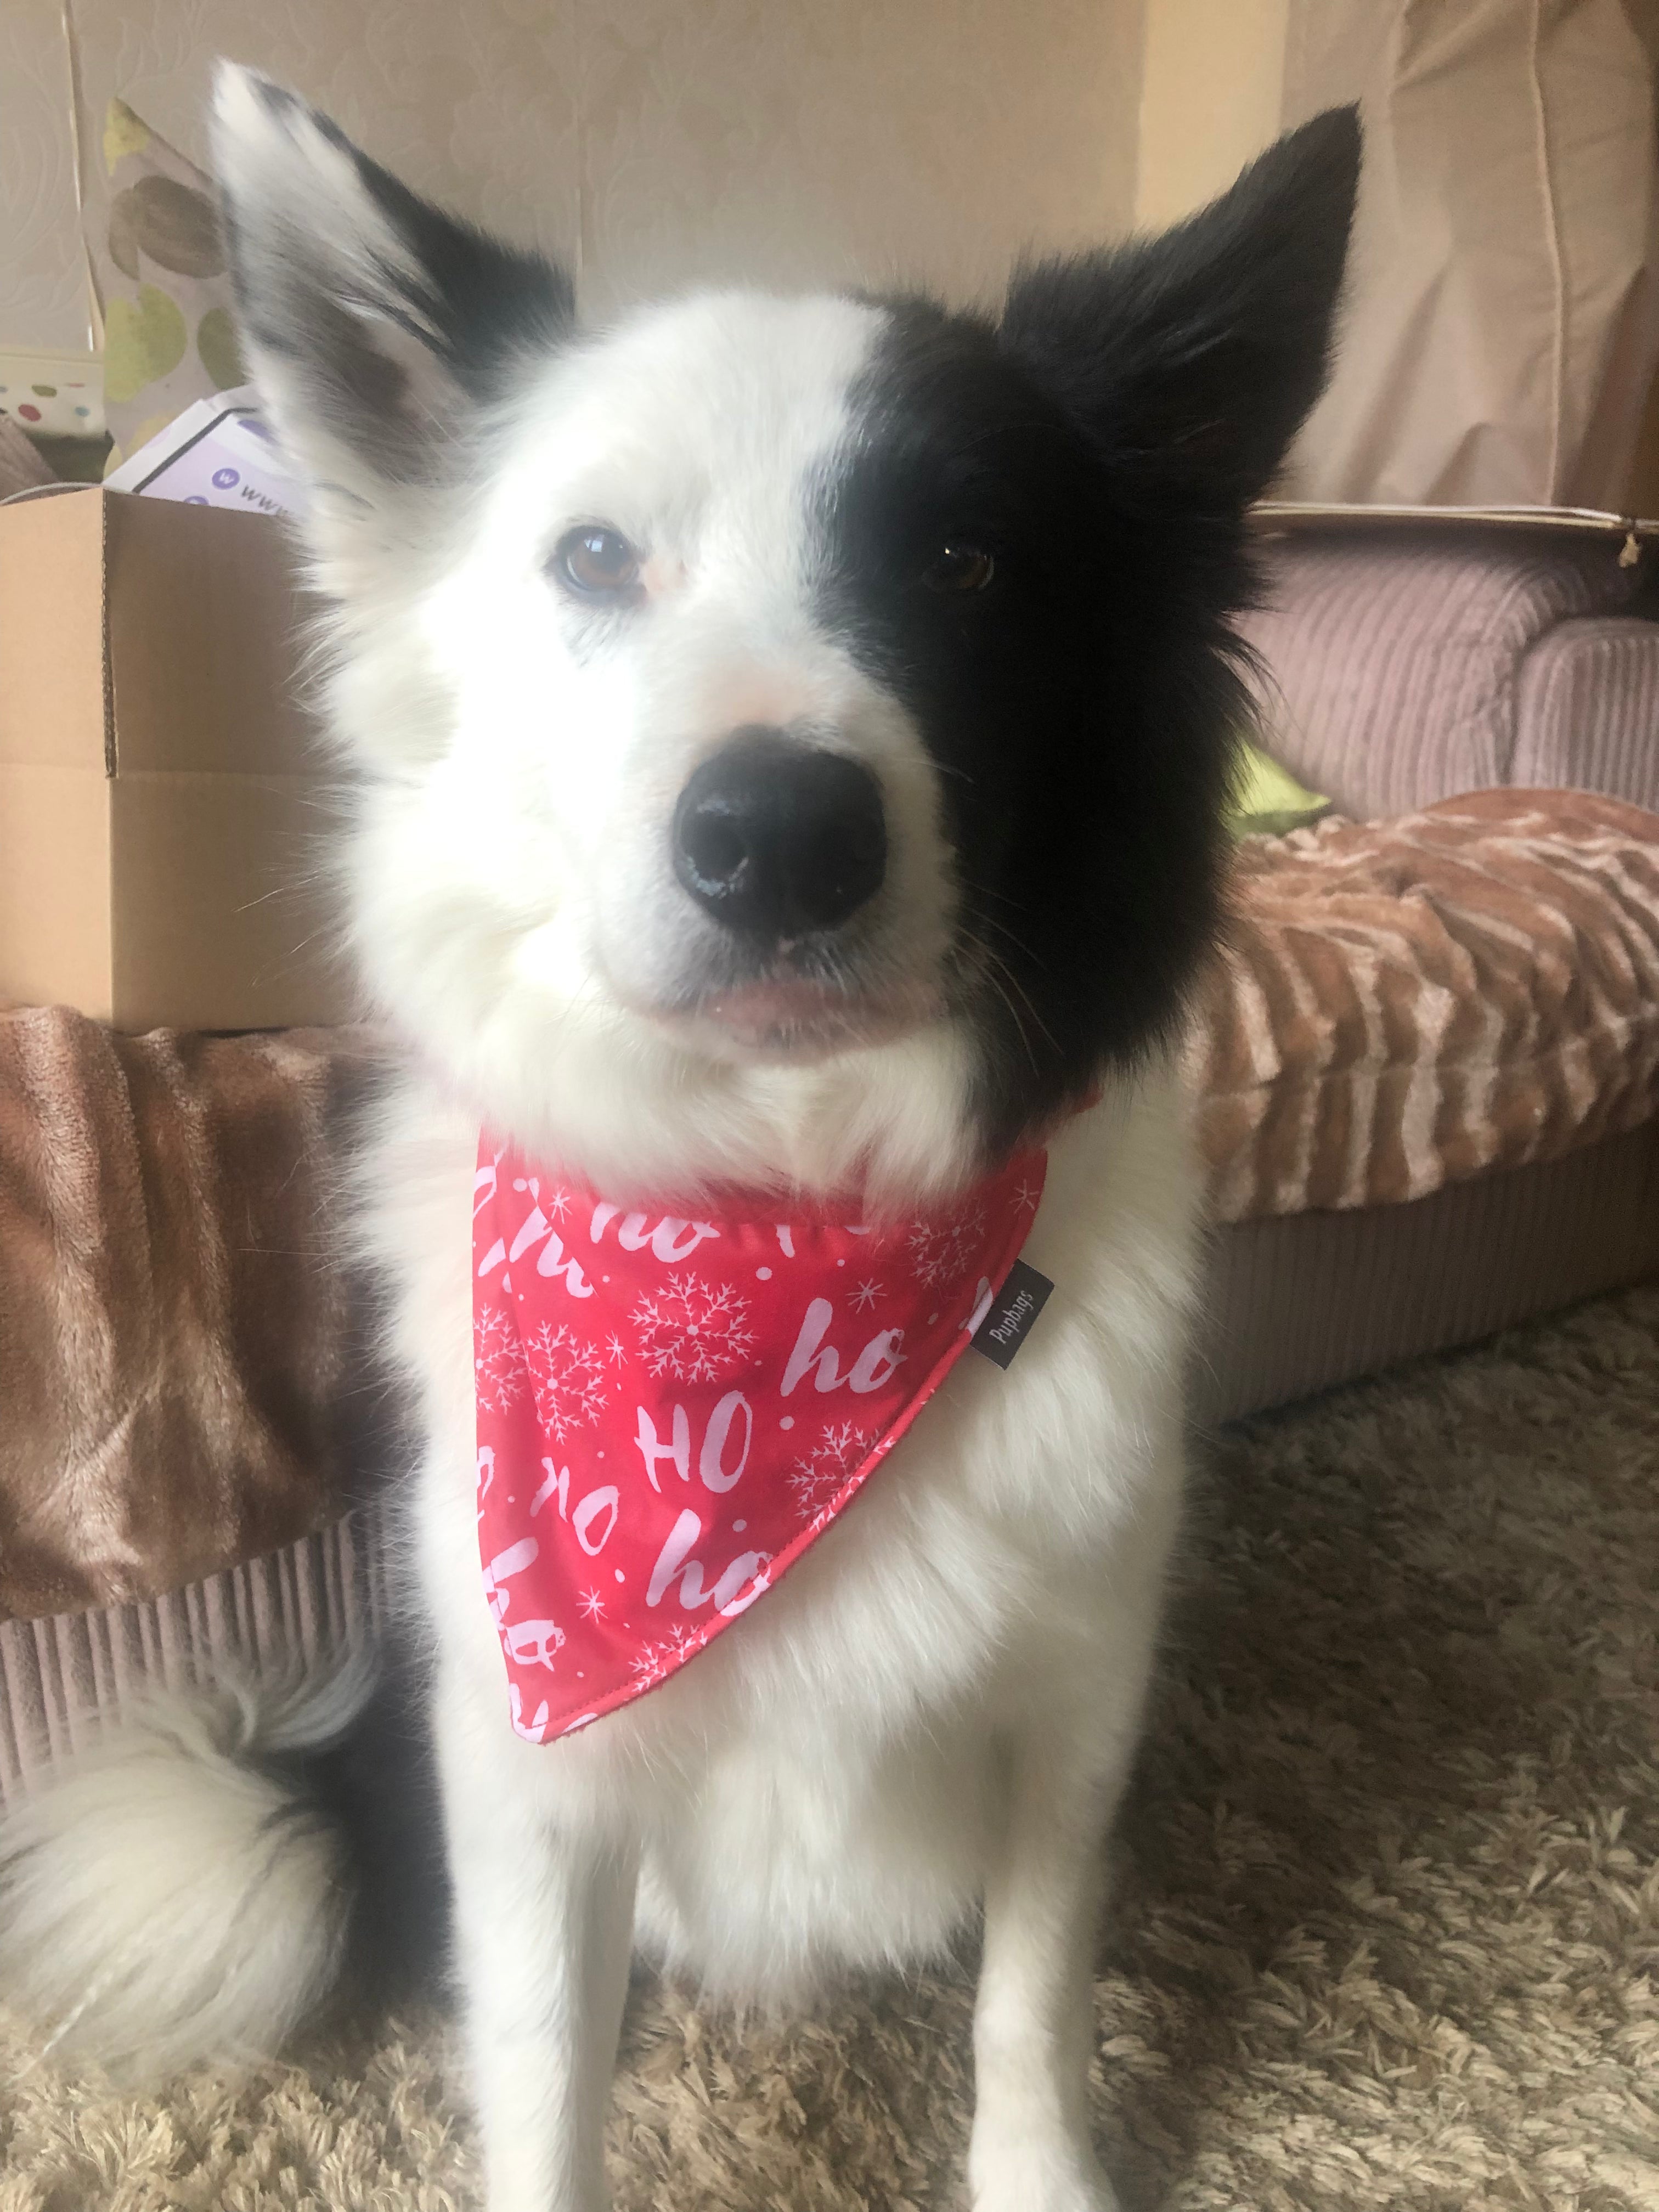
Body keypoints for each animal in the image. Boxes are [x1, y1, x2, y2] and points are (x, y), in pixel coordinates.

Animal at [0, 74, 1353, 2212]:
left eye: (967, 564)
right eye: (593, 558)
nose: (780, 838)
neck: (776, 1233)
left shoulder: (1074, 1707)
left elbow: (1032, 1997)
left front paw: (1036, 2171)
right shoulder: (530, 1776)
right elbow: (543, 2073)